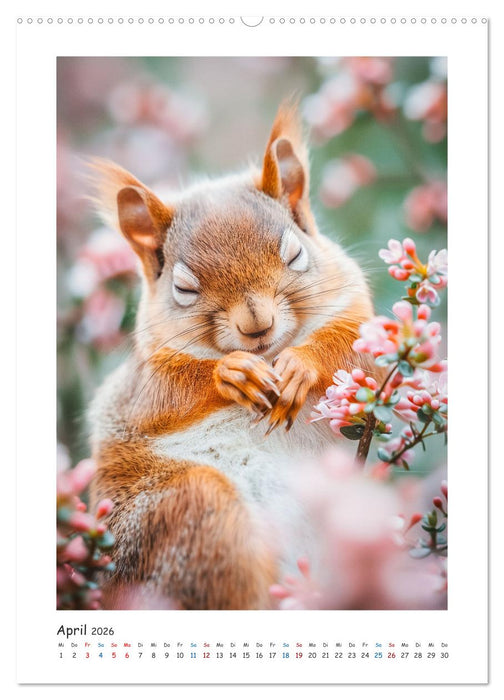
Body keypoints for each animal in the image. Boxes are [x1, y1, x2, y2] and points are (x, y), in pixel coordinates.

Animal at [87, 102, 377, 610]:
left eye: (296, 253)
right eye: (183, 289)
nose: (256, 325)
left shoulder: (360, 317)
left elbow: (355, 358)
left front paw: (301, 367)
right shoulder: (140, 384)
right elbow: (168, 393)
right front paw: (232, 374)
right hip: (190, 511)